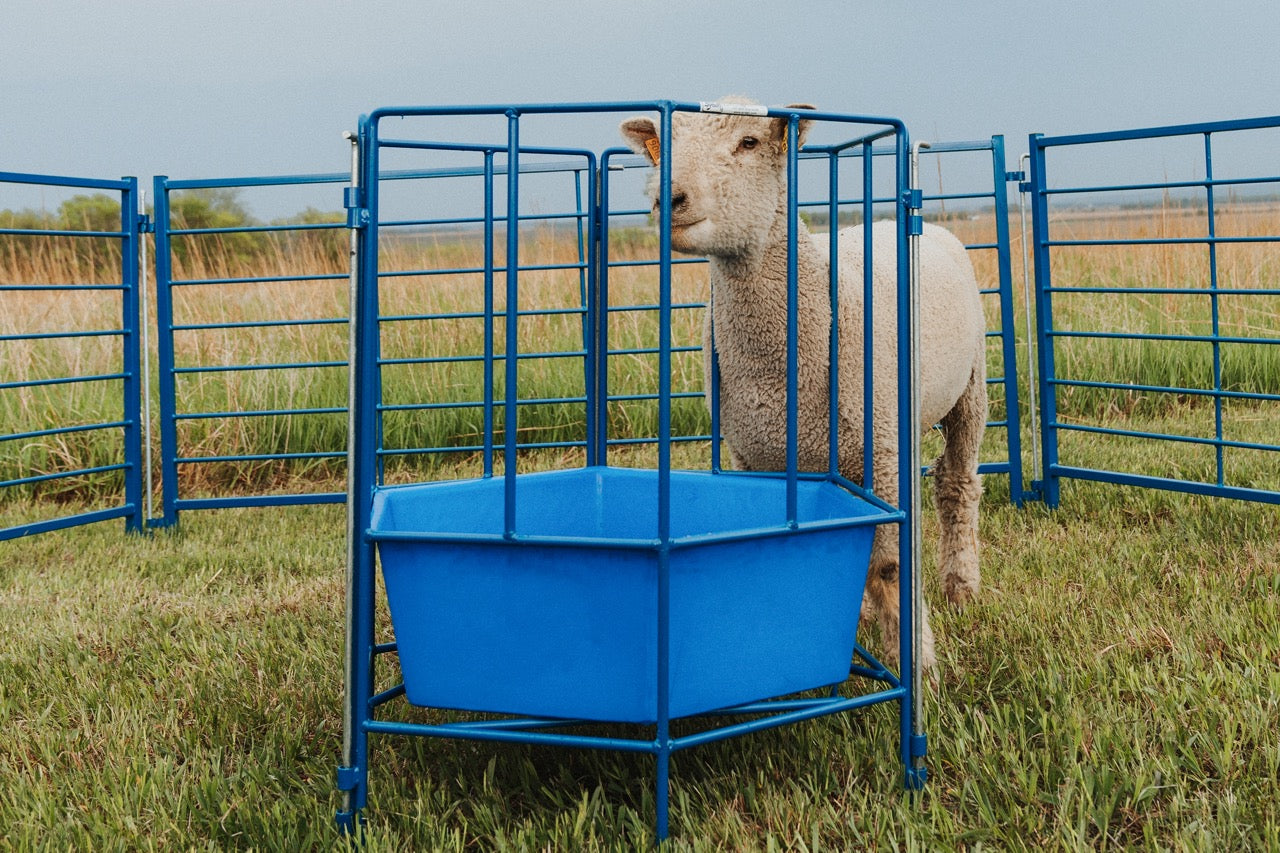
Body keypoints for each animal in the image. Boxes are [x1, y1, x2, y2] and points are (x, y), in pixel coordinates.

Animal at [620, 98, 987, 671]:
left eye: (749, 142)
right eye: (667, 145)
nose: (668, 199)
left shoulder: (884, 453)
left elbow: (889, 567)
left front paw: (917, 660)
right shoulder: (756, 457)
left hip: (970, 388)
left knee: (958, 483)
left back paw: (961, 587)